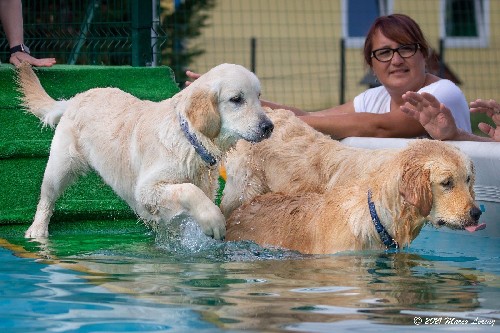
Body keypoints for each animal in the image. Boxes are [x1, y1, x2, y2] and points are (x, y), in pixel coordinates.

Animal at [16, 62, 274, 239]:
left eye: (258, 97)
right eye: (236, 99)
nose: (269, 126)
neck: (189, 138)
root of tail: (75, 98)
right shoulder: (147, 189)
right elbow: (188, 190)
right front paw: (214, 221)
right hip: (59, 167)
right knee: (46, 199)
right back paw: (37, 230)